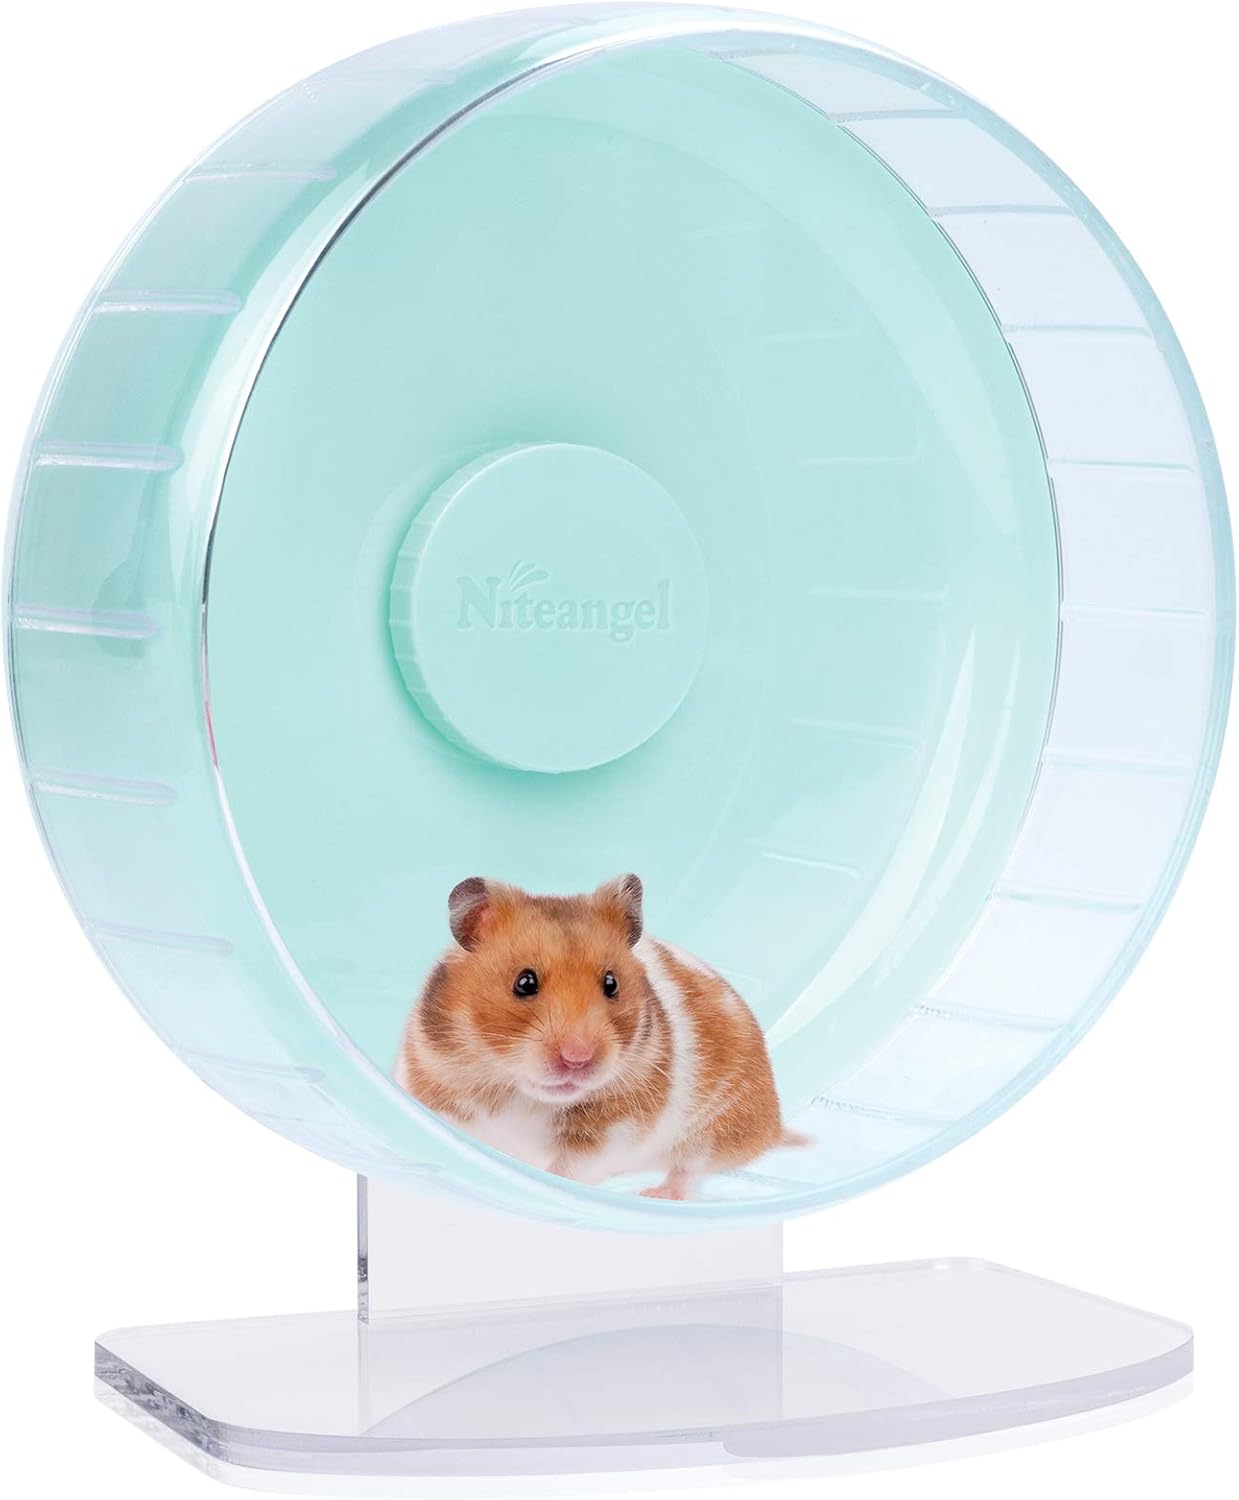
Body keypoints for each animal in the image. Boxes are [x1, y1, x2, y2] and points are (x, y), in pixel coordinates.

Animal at [395, 874, 805, 1200]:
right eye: (524, 983)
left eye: (611, 984)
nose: (577, 1059)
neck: (521, 1093)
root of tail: (772, 1126)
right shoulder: (435, 1092)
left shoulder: (612, 1131)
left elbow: (568, 1170)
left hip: (717, 1128)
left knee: (688, 1170)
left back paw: (655, 1195)